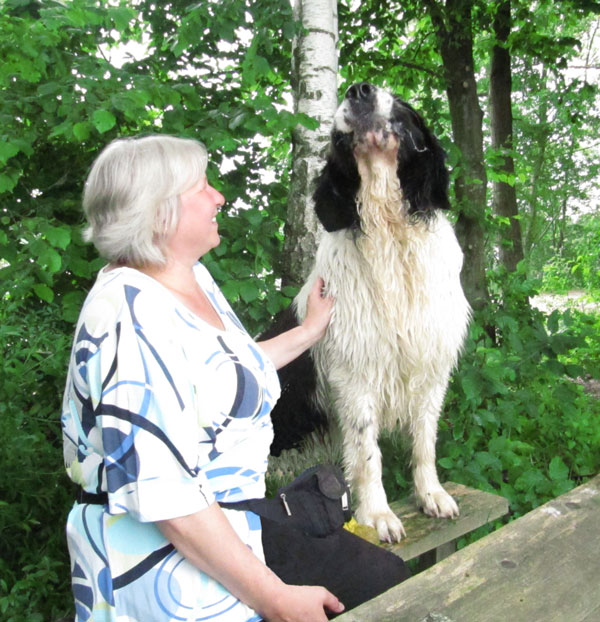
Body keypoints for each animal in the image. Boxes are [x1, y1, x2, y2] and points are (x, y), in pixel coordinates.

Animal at [270, 84, 472, 544]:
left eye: (402, 104)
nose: (359, 90)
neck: (391, 234)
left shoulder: (432, 370)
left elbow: (424, 442)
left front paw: (431, 494)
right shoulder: (355, 375)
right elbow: (367, 454)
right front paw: (377, 515)